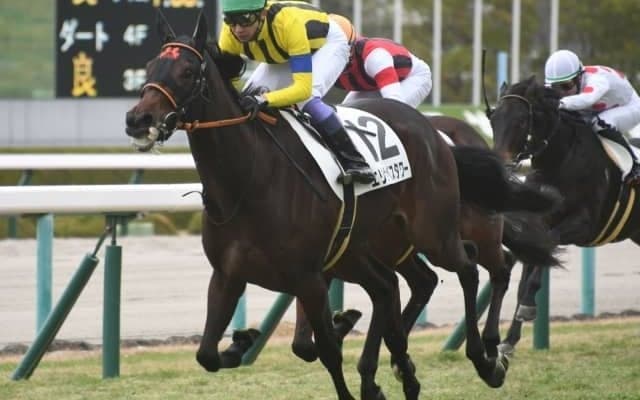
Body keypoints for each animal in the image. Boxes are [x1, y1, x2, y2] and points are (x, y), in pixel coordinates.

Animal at [125, 13, 558, 399]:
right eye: (150, 66)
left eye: (186, 72)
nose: (137, 118)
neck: (249, 179)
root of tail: (436, 136)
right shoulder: (229, 274)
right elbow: (207, 354)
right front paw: (242, 341)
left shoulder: (309, 276)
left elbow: (326, 352)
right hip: (373, 247)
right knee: (400, 286)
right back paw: (402, 367)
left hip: (433, 232)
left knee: (476, 268)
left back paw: (486, 358)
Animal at [489, 75, 640, 354]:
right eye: (493, 119)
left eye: (521, 121)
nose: (500, 164)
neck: (558, 160)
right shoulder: (537, 226)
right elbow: (527, 275)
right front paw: (508, 342)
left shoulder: (584, 225)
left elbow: (546, 252)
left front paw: (528, 308)